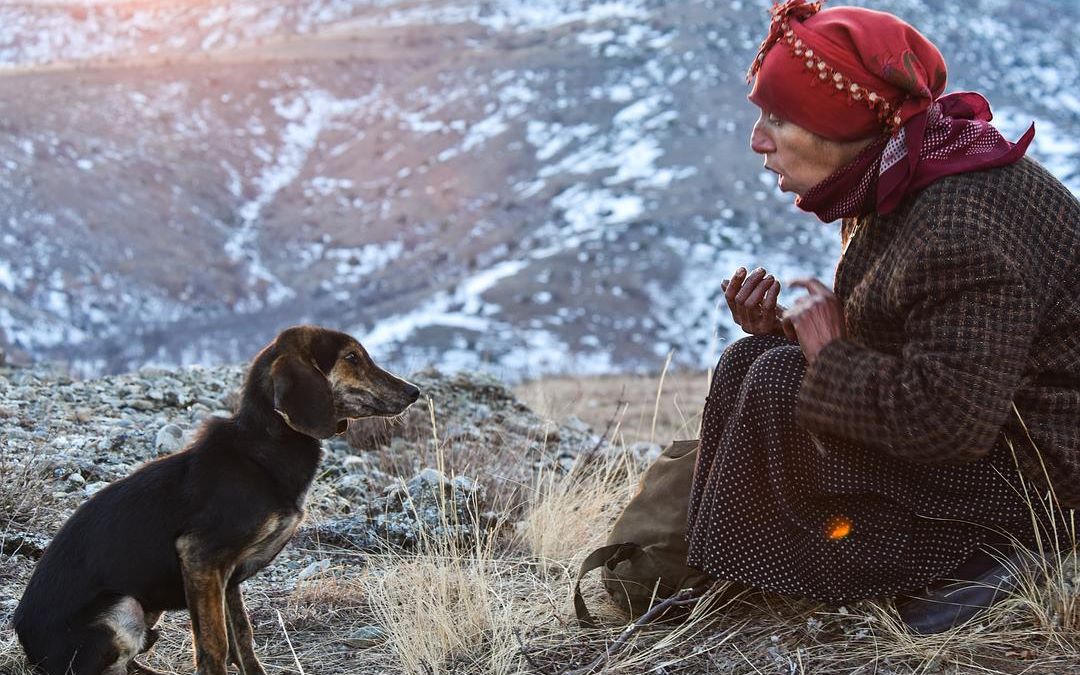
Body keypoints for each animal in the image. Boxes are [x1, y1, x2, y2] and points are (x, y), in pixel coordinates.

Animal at [12, 326, 416, 673]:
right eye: (352, 356)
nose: (414, 391)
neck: (263, 448)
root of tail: (28, 646)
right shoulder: (200, 557)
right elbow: (215, 646)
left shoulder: (228, 577)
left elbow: (243, 637)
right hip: (124, 608)